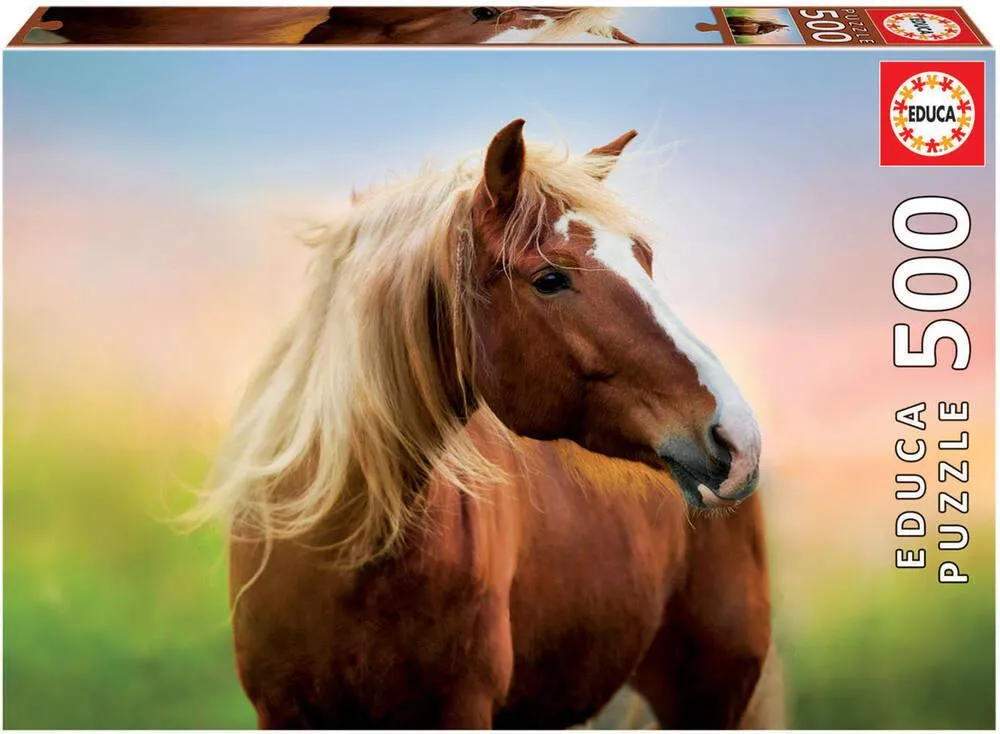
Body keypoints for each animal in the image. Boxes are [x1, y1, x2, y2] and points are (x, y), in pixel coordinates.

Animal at [195, 119, 776, 729]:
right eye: (549, 279)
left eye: (644, 258)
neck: (344, 552)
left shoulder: (461, 707)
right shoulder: (281, 709)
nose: (738, 436)